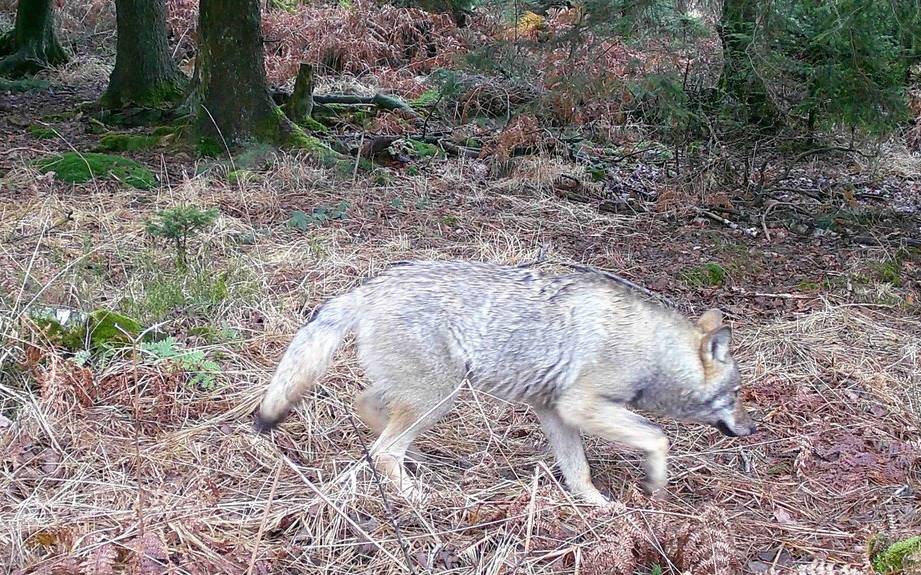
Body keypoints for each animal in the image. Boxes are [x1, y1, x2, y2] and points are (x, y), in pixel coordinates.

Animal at [254, 260, 756, 505]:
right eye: (734, 396)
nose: (752, 429)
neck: (651, 349)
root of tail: (370, 287)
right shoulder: (580, 408)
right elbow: (657, 437)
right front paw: (655, 485)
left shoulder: (555, 413)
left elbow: (579, 471)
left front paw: (600, 508)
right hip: (442, 396)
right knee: (384, 450)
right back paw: (415, 494)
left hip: (429, 395)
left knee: (370, 414)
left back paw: (417, 463)